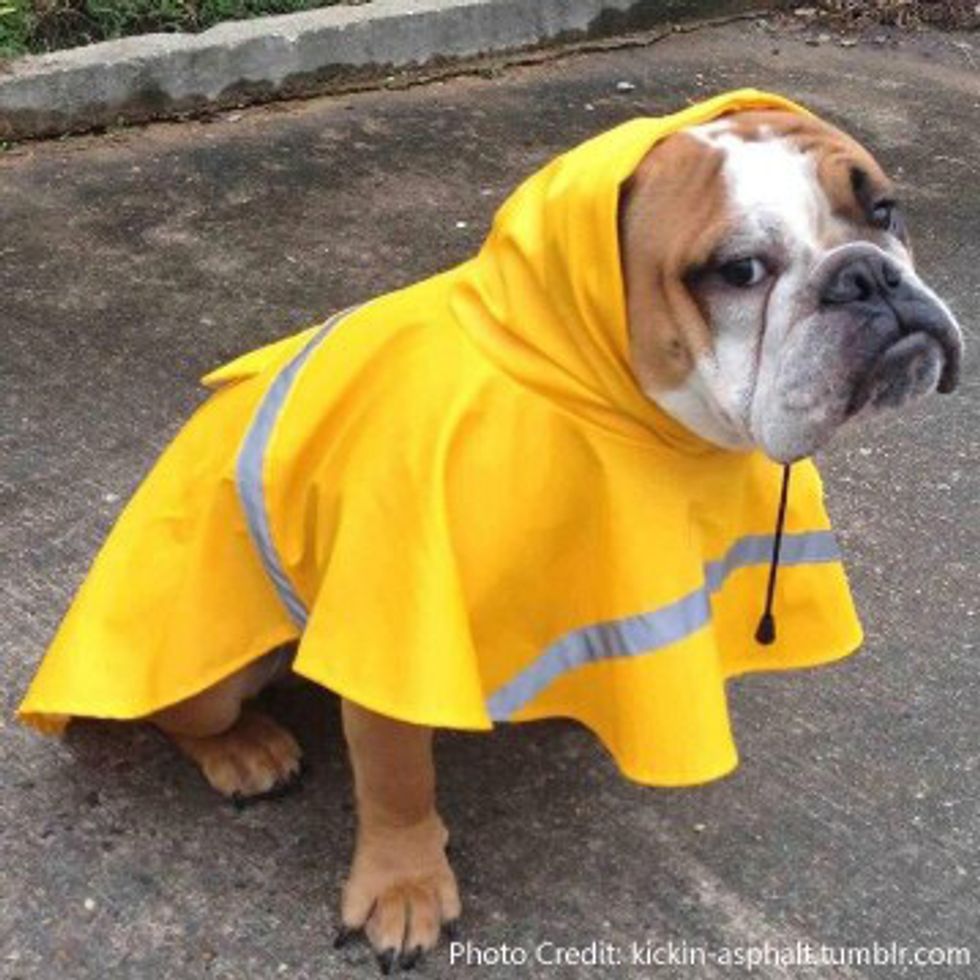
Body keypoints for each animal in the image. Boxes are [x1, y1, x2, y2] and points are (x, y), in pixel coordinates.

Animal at [19, 90, 963, 971]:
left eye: (883, 209)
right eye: (738, 270)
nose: (867, 277)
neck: (596, 399)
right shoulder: (397, 628)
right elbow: (397, 775)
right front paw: (403, 885)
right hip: (204, 663)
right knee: (179, 714)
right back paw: (244, 750)